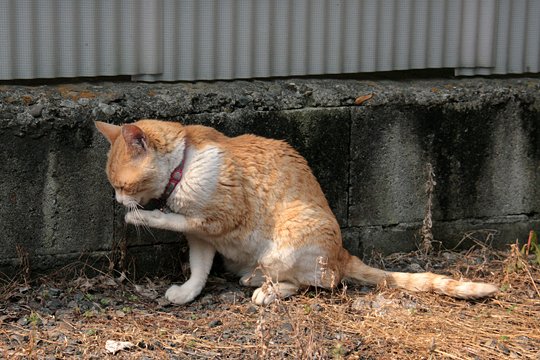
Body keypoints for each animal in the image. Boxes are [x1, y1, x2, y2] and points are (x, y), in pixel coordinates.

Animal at [96, 119, 498, 306]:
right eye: (113, 185)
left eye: (123, 187)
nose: (116, 201)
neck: (184, 166)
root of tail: (341, 253)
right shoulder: (202, 238)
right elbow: (198, 270)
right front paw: (186, 294)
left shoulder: (217, 219)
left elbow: (171, 218)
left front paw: (141, 217)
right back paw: (254, 279)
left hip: (286, 241)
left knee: (319, 282)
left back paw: (266, 290)